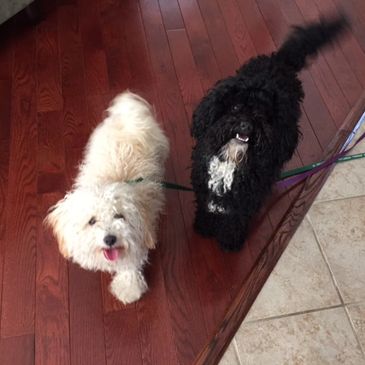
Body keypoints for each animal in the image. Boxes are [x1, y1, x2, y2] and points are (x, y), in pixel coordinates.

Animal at [45, 90, 169, 302]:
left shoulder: (142, 234)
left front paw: (129, 287)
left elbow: (130, 263)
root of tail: (128, 117)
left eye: (120, 216)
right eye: (92, 221)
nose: (110, 239)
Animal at [191, 17, 346, 250]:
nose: (246, 125)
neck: (233, 158)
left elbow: (236, 219)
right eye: (235, 107)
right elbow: (205, 206)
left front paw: (229, 241)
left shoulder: (248, 197)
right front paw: (204, 226)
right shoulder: (204, 182)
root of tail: (279, 61)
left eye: (260, 114)